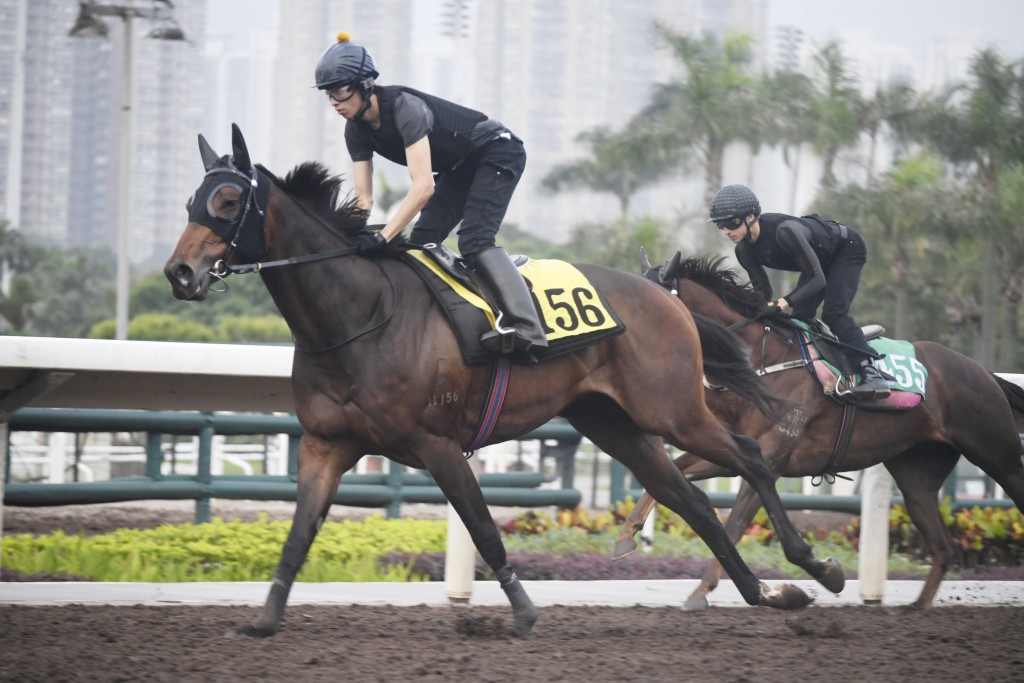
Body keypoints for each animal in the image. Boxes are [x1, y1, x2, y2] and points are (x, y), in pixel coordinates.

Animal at [165, 125, 839, 638]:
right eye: (191, 200)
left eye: (229, 202)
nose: (180, 272)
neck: (360, 317)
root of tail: (668, 298)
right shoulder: (326, 445)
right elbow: (299, 534)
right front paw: (264, 618)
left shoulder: (436, 444)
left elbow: (484, 529)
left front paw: (523, 612)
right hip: (614, 422)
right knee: (689, 499)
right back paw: (764, 593)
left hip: (672, 409)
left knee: (750, 458)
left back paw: (813, 569)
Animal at [614, 250, 1024, 610]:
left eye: (649, 303)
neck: (762, 360)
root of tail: (984, 372)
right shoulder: (736, 450)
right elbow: (674, 473)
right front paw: (626, 534)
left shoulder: (769, 459)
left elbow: (735, 524)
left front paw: (707, 591)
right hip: (917, 477)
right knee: (942, 546)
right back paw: (917, 607)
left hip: (997, 453)